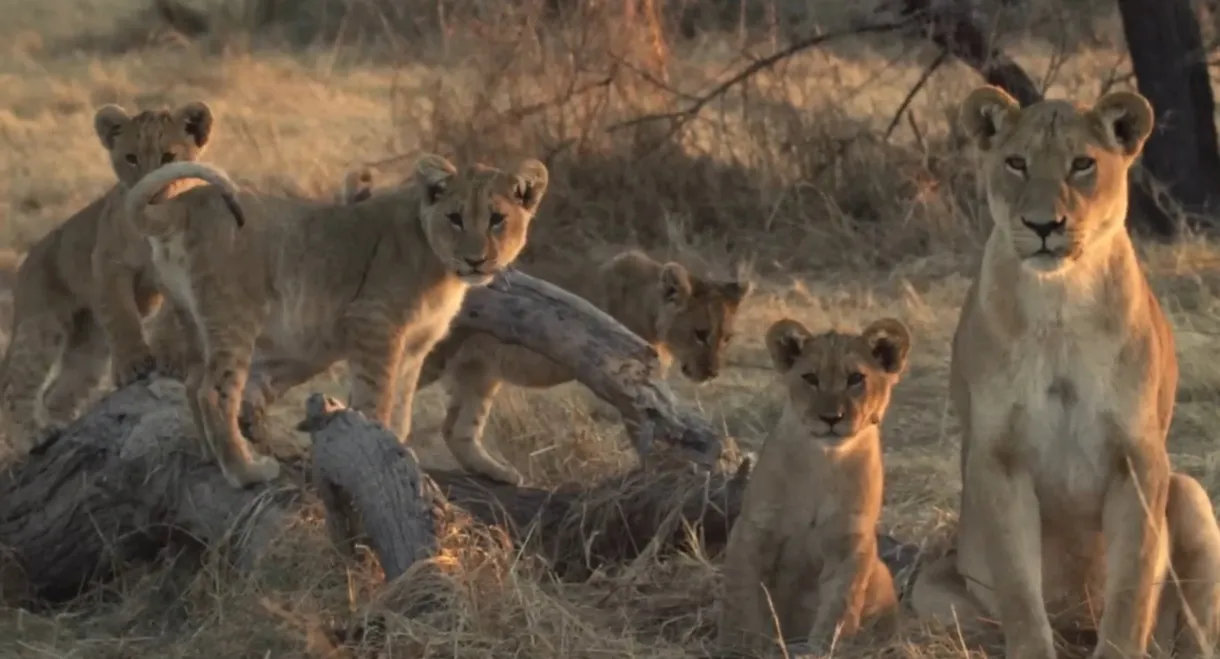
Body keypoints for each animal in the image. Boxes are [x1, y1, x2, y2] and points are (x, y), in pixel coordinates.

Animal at [0, 101, 215, 448]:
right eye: (131, 158)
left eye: (169, 157)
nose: (149, 193)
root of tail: (28, 259)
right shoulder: (108, 264)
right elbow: (122, 315)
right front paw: (133, 365)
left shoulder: (183, 267)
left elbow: (172, 317)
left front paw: (172, 358)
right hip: (41, 322)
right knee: (16, 386)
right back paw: (36, 436)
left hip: (90, 344)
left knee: (58, 392)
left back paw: (65, 429)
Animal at [123, 154, 549, 488]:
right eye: (455, 218)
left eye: (497, 219)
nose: (475, 260)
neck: (443, 268)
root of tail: (187, 201)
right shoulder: (375, 323)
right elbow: (377, 398)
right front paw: (381, 456)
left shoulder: (415, 346)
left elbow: (403, 408)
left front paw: (399, 449)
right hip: (235, 316)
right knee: (215, 391)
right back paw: (246, 471)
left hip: (194, 319)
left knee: (193, 384)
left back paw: (215, 458)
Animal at [400, 248, 751, 485]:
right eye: (700, 334)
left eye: (726, 338)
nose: (712, 372)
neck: (650, 306)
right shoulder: (630, 377)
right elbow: (644, 431)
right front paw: (658, 474)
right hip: (434, 355)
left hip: (479, 371)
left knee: (456, 429)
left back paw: (499, 473)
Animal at [716, 316, 909, 655]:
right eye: (810, 378)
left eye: (856, 378)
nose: (831, 417)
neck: (824, 462)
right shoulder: (752, 529)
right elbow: (743, 597)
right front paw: (747, 645)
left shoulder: (851, 542)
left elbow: (839, 609)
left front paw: (823, 649)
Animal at [907, 86, 1220, 659]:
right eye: (1016, 163)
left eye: (1082, 165)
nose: (1043, 226)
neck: (1059, 301)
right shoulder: (998, 459)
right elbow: (1019, 588)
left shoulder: (1138, 458)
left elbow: (1132, 584)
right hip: (931, 589)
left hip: (1188, 491)